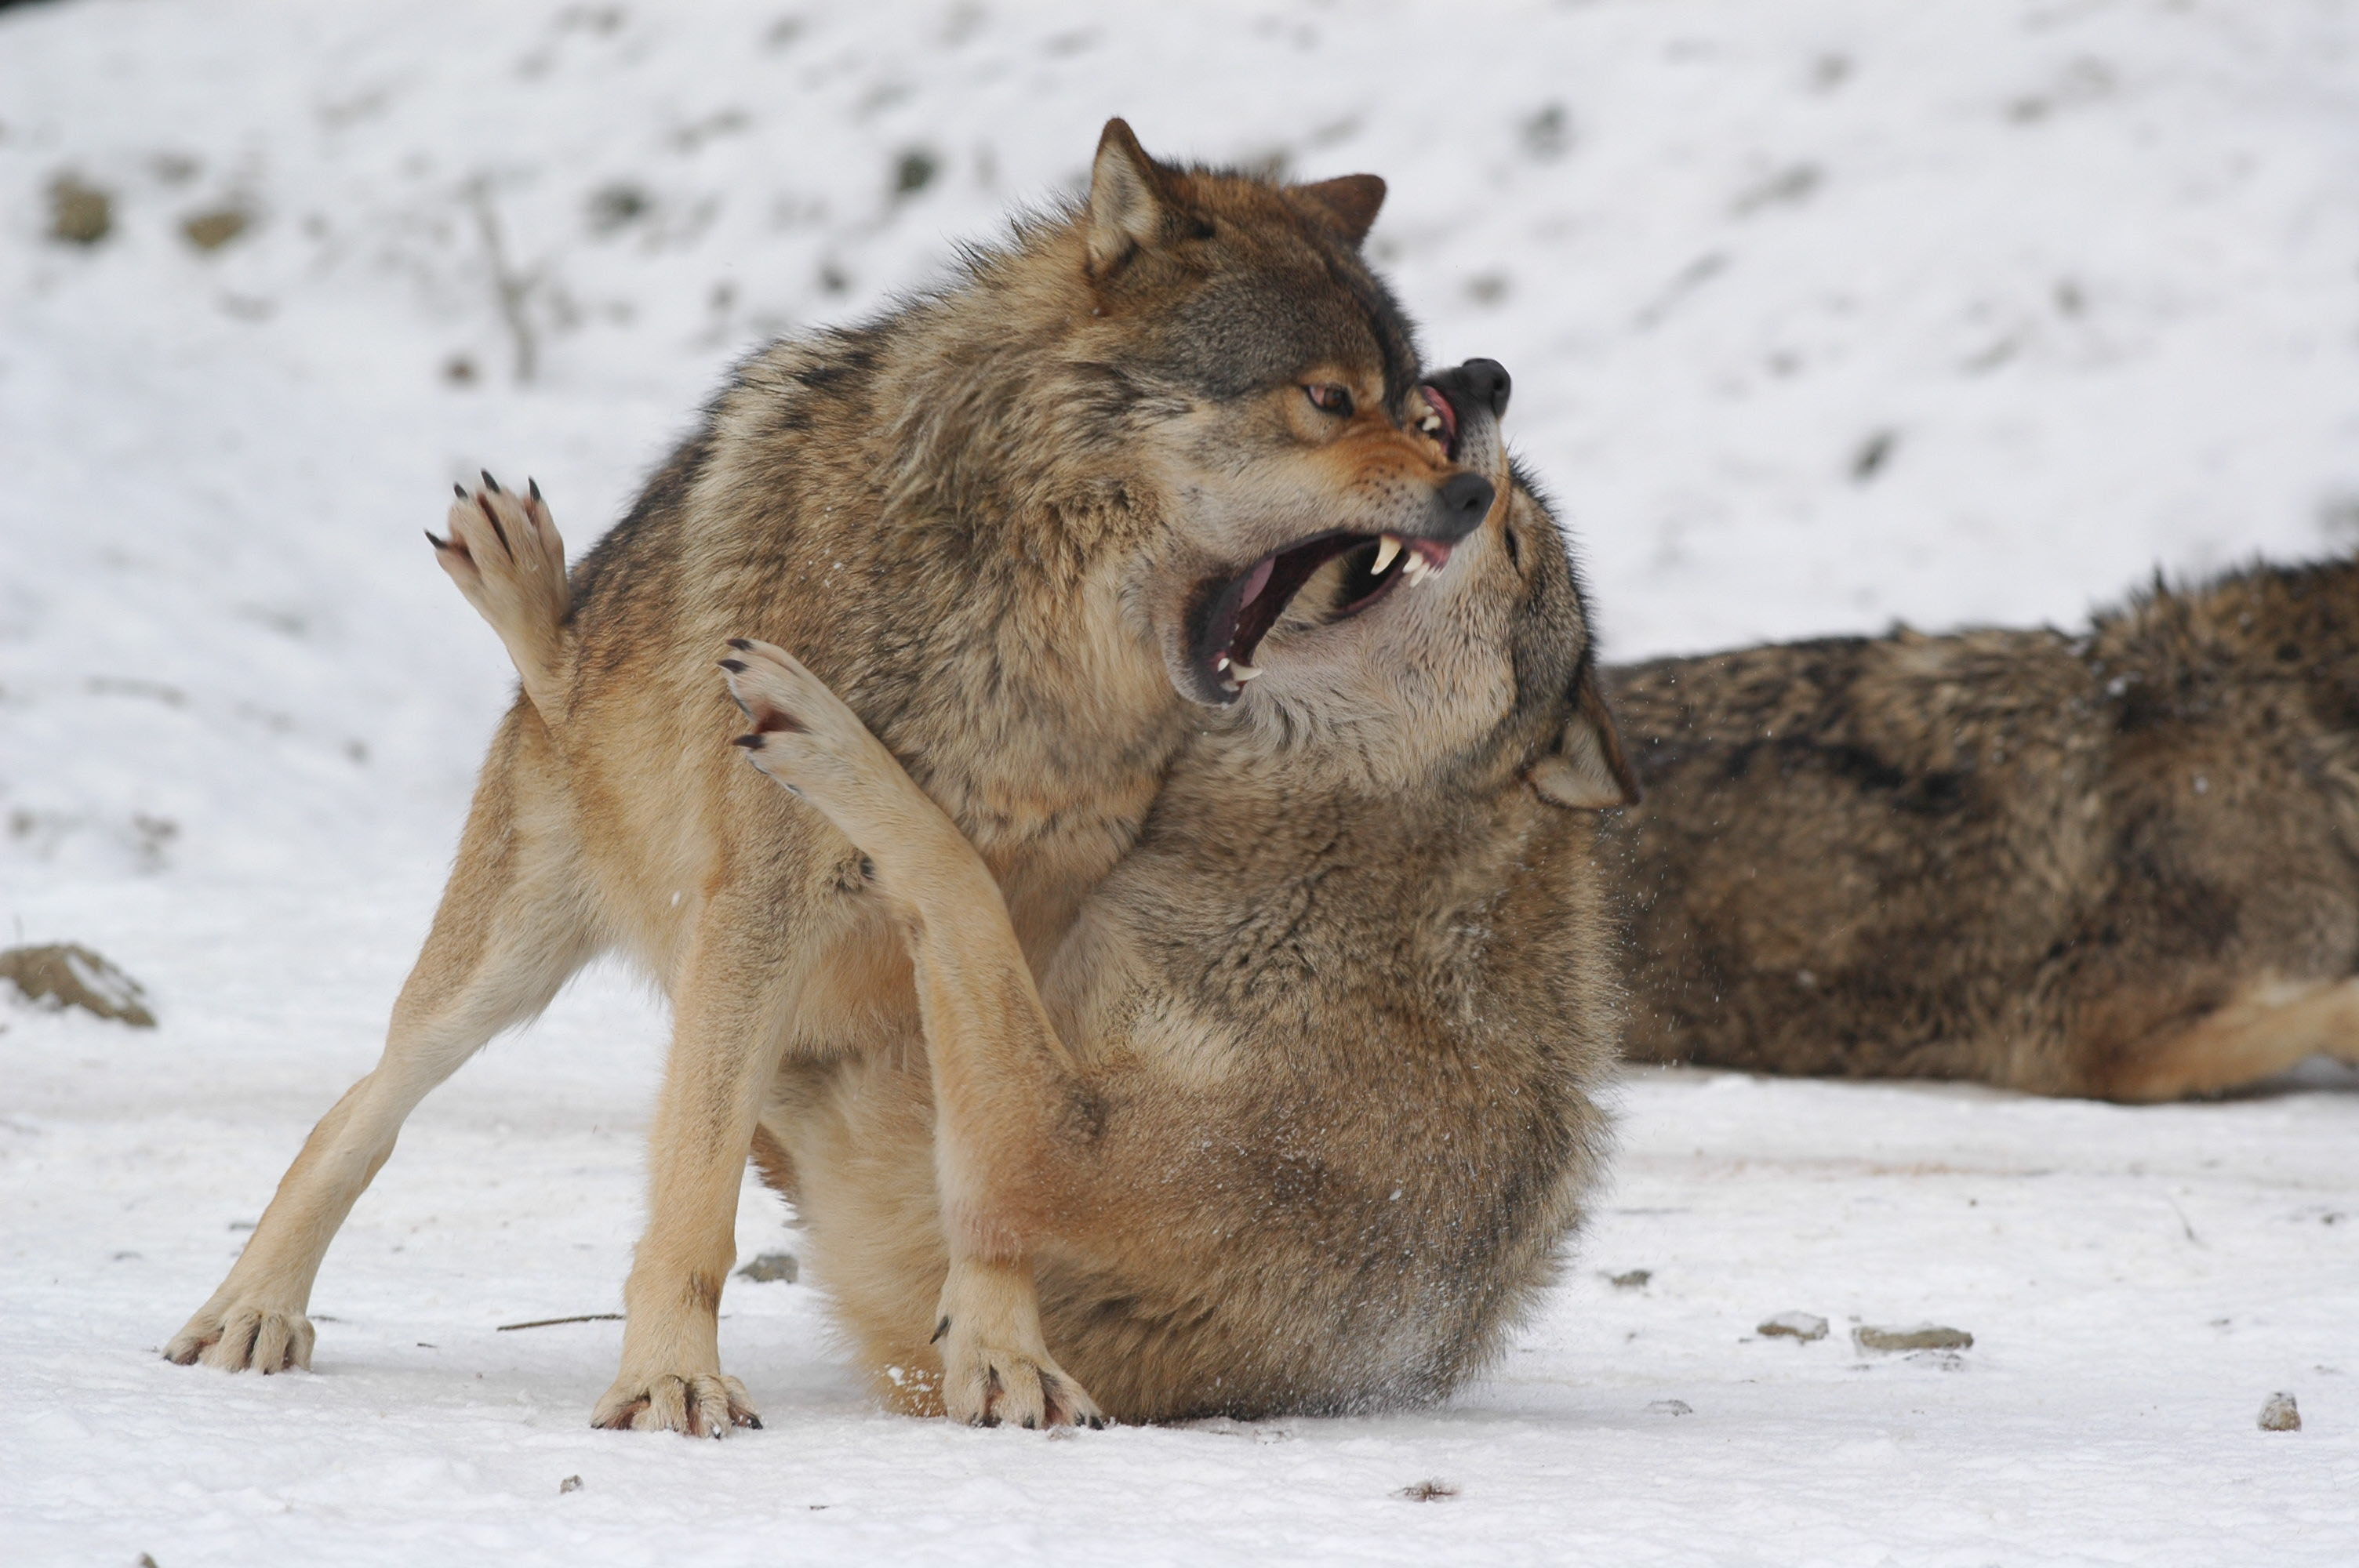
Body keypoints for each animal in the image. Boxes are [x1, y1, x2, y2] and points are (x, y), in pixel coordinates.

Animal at [165, 122, 1510, 1433]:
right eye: (1329, 399)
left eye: (1411, 405)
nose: (1471, 490)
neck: (1023, 637)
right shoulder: (764, 910)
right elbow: (695, 1199)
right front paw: (672, 1380)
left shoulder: (1028, 925)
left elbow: (995, 1168)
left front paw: (1005, 1356)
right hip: (505, 966)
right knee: (364, 1104)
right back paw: (254, 1309)